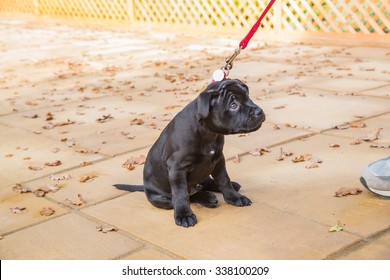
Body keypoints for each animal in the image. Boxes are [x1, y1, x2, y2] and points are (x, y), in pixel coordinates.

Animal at [113, 79, 266, 228]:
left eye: (247, 96)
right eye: (233, 105)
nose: (259, 111)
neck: (208, 132)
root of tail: (144, 188)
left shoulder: (218, 159)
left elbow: (224, 180)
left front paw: (234, 197)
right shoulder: (177, 168)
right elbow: (181, 194)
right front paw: (184, 215)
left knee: (205, 183)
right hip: (159, 198)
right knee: (182, 197)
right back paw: (206, 198)